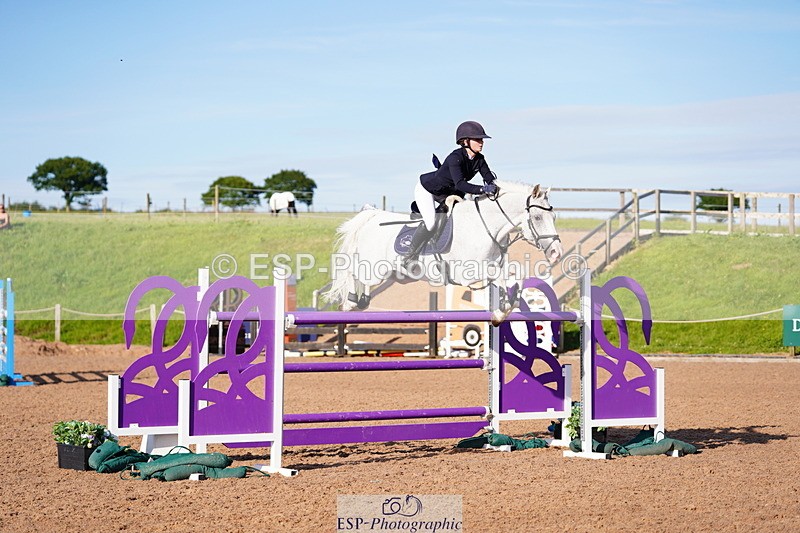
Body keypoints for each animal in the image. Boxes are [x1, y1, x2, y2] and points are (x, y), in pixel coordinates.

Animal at [323, 181, 563, 323]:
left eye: (554, 217)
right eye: (538, 217)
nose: (556, 253)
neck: (484, 226)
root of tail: (372, 216)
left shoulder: (496, 264)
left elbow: (517, 272)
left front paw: (502, 309)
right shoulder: (469, 273)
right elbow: (500, 276)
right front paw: (502, 308)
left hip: (386, 274)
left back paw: (362, 300)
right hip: (375, 269)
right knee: (353, 272)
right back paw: (351, 302)